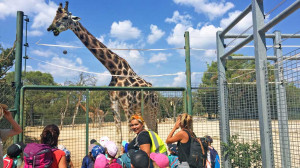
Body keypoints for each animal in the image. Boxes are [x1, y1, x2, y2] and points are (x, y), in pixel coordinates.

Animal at [47, 1, 159, 139]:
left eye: (65, 17)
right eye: (54, 16)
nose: (50, 28)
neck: (114, 69)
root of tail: (156, 92)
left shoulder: (128, 105)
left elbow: (129, 136)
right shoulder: (114, 104)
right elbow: (118, 136)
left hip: (153, 108)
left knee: (154, 129)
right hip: (144, 109)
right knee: (151, 129)